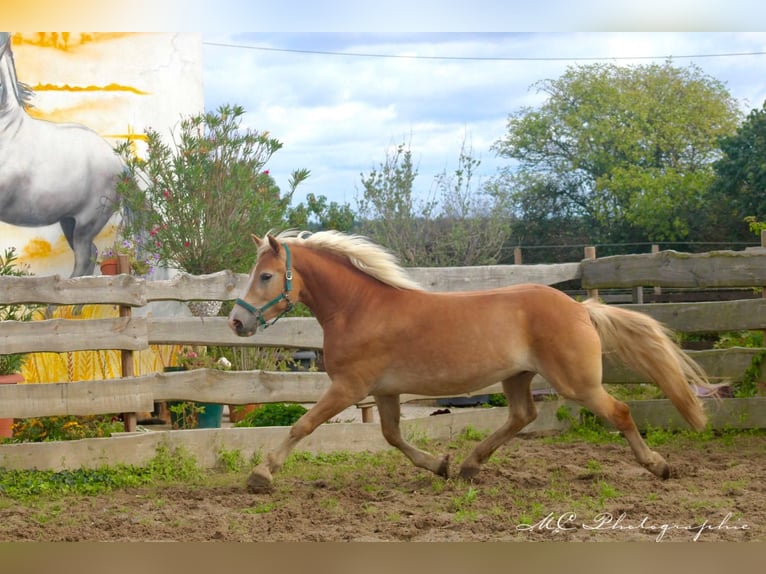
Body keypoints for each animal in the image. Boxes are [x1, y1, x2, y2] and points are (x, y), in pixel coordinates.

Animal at [230, 230, 712, 496]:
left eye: (266, 276)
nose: (237, 321)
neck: (360, 308)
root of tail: (580, 308)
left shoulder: (349, 388)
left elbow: (303, 426)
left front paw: (261, 475)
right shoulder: (384, 391)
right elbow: (392, 436)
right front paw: (439, 465)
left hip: (578, 384)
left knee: (621, 411)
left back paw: (658, 465)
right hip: (518, 377)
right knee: (522, 416)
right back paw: (468, 466)